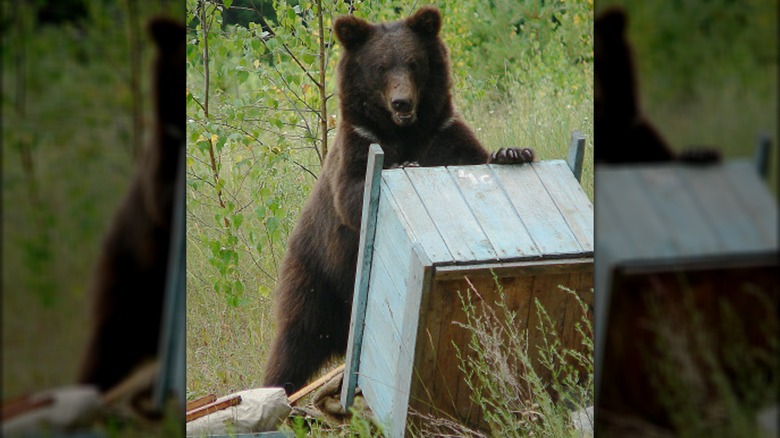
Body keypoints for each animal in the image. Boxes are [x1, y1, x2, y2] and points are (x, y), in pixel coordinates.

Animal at [266, 5, 532, 394]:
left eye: (413, 62)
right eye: (380, 66)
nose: (401, 101)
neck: (404, 132)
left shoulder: (443, 135)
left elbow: (475, 155)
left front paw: (513, 152)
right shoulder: (359, 144)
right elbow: (353, 192)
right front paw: (403, 165)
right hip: (316, 275)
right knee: (295, 341)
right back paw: (278, 388)